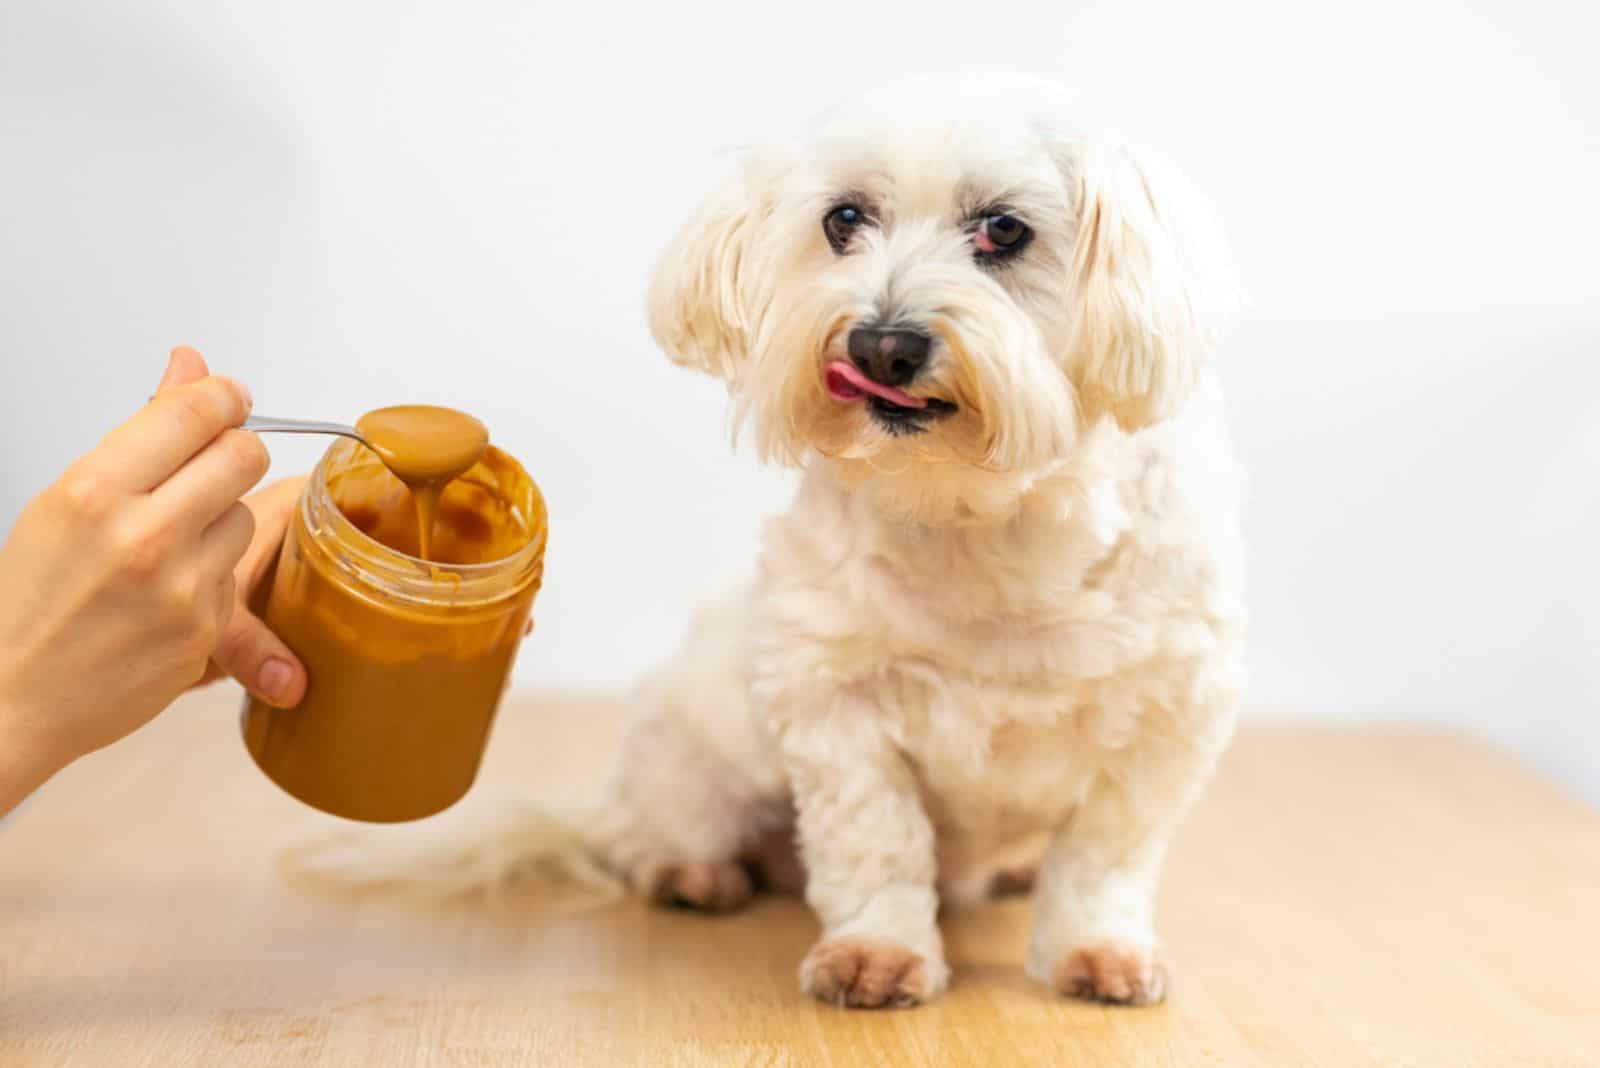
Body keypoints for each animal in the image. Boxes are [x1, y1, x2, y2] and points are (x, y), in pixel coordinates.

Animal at [302, 73, 1248, 1010]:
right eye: (844, 219)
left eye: (1005, 229)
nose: (883, 344)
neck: (974, 518)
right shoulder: (836, 704)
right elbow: (877, 841)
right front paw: (877, 952)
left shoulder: (1168, 721)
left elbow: (1103, 857)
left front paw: (1099, 949)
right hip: (692, 754)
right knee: (645, 834)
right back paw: (688, 872)